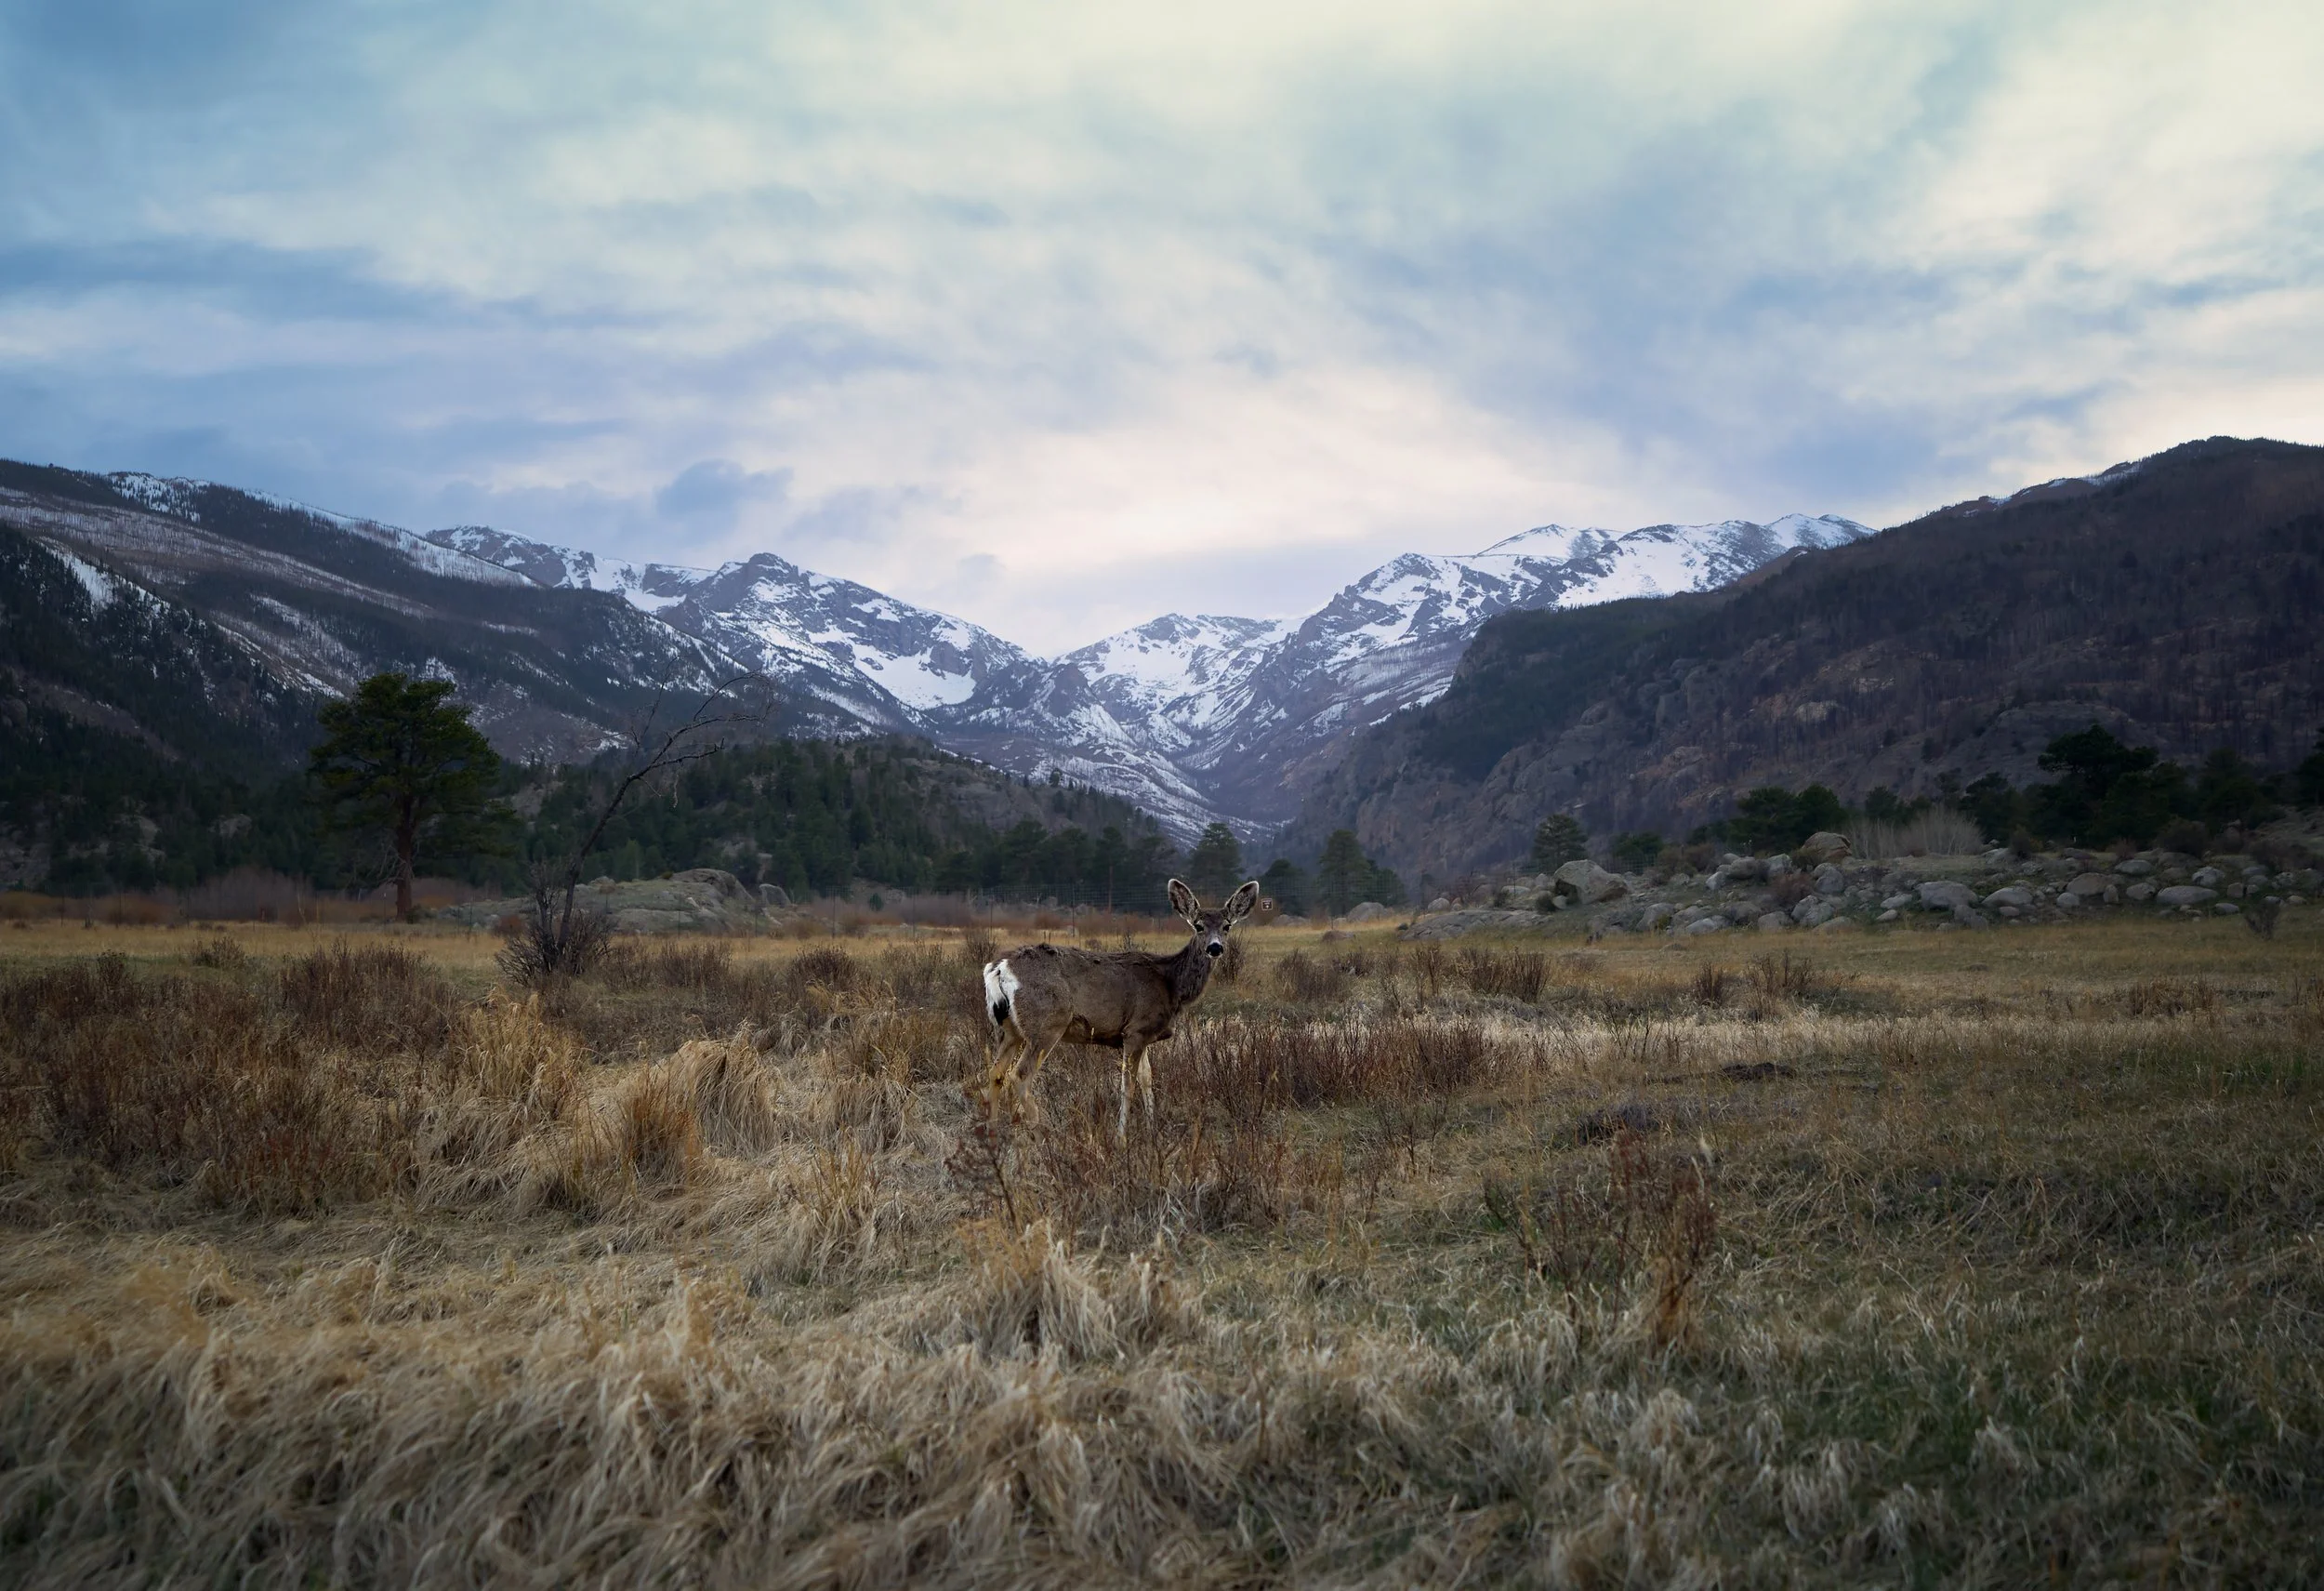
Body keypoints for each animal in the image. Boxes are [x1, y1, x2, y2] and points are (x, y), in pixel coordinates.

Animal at [982, 878, 1261, 1135]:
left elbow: (1148, 1079)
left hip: (1008, 1029)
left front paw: (1152, 1131)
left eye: (1227, 926)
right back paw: (1041, 1135)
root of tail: (999, 968)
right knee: (1020, 1075)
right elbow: (1128, 1086)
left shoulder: (1145, 1034)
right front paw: (1122, 1137)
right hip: (1047, 1023)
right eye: (1198, 926)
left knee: (995, 1072)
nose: (1215, 947)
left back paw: (993, 1136)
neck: (1171, 984)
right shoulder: (1135, 1030)